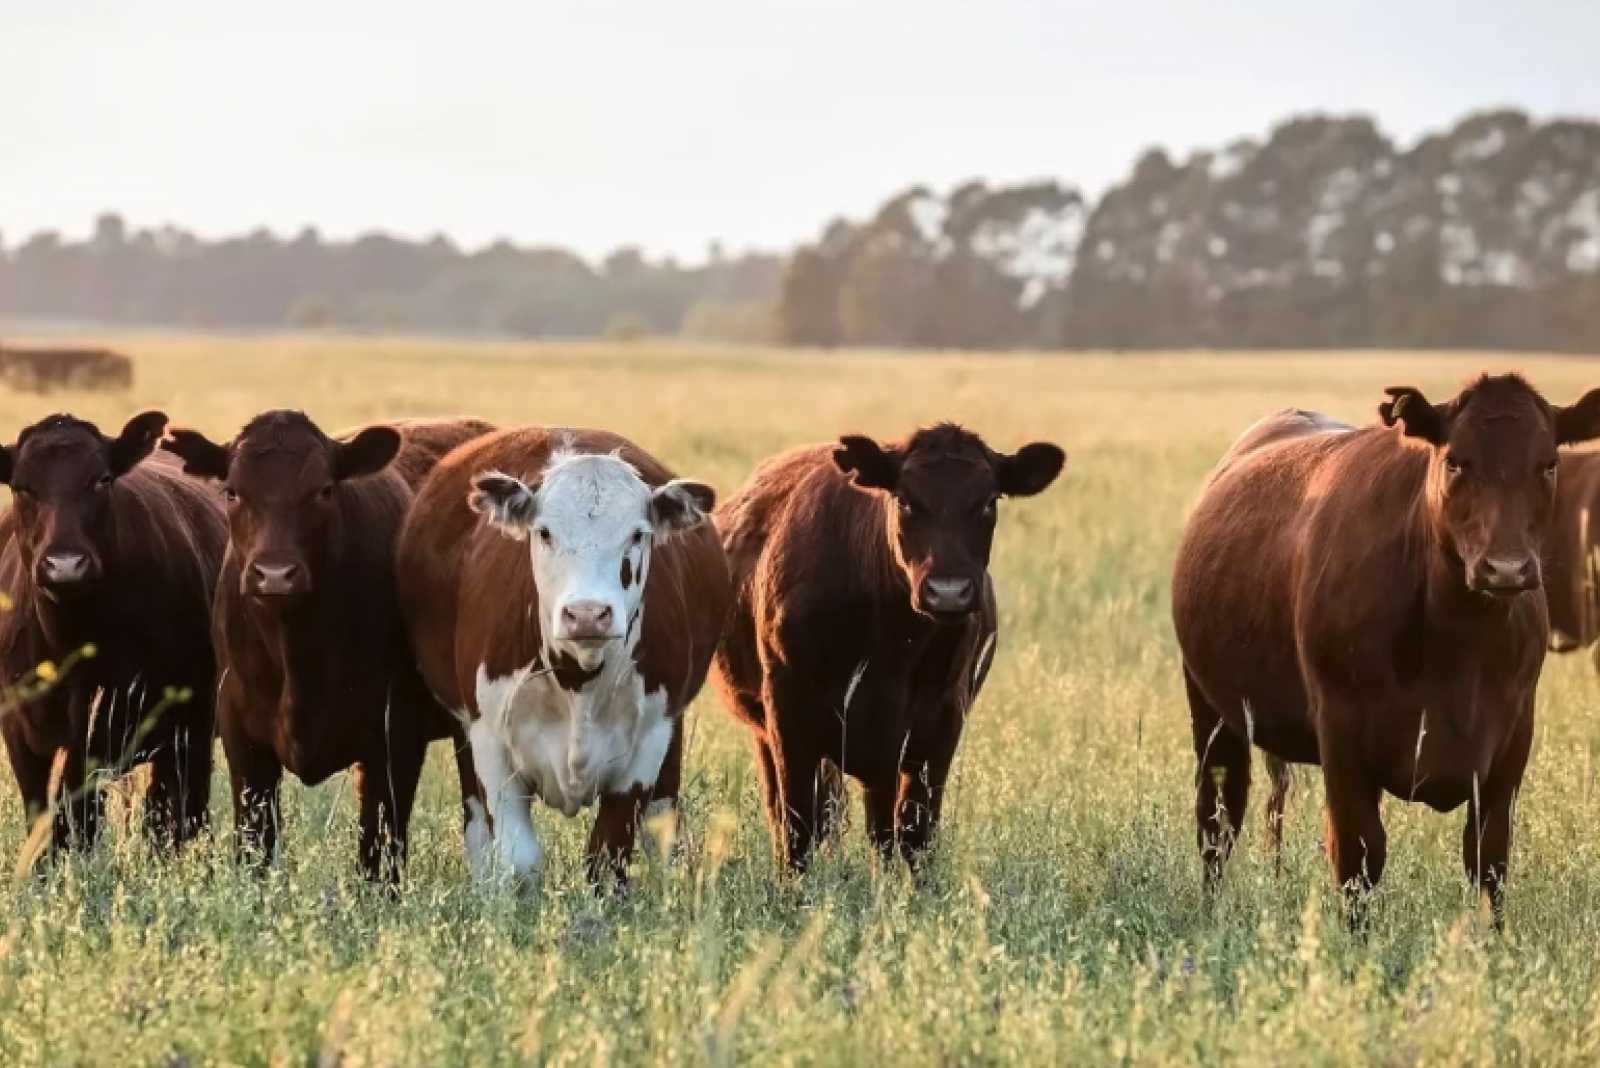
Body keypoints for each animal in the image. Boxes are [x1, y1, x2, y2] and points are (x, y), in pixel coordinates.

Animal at [161, 412, 489, 882]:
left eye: (324, 490)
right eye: (232, 491)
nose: (274, 574)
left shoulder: (395, 737)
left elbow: (378, 854)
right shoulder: (243, 738)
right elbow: (255, 847)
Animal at [396, 425, 729, 882]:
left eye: (637, 534)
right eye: (545, 532)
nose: (587, 613)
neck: (578, 680)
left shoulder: (647, 745)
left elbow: (608, 857)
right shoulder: (489, 742)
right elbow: (518, 860)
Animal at [710, 425, 1062, 876]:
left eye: (988, 502)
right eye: (905, 499)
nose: (948, 592)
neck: (890, 643)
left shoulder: (939, 721)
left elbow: (913, 832)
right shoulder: (788, 712)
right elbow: (797, 825)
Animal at [1164, 377, 1600, 927]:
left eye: (1548, 464)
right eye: (1455, 461)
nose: (1506, 569)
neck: (1455, 646)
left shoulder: (1513, 736)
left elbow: (1490, 861)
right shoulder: (1341, 730)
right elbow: (1359, 858)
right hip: (1211, 709)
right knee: (1218, 818)